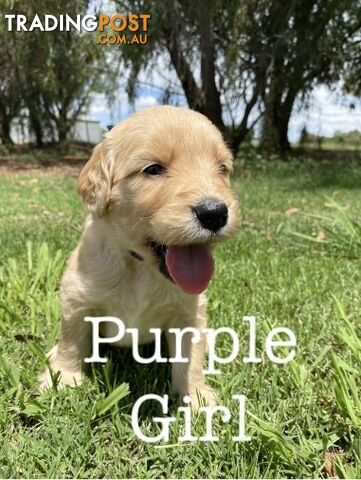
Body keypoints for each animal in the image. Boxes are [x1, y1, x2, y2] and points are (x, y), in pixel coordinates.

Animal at [38, 107, 238, 406]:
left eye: (222, 169)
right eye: (153, 169)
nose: (215, 213)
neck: (139, 266)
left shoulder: (188, 314)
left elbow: (190, 359)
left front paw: (196, 397)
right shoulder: (77, 298)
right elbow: (73, 339)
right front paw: (64, 377)